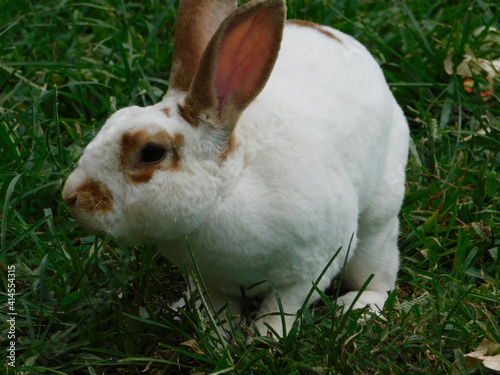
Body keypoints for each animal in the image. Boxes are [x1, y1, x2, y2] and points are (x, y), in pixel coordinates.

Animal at [60, 0, 408, 340]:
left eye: (151, 152)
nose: (71, 197)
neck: (225, 193)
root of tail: (335, 34)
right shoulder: (211, 280)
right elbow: (220, 310)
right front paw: (219, 338)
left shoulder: (311, 268)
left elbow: (283, 309)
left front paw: (267, 340)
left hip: (379, 218)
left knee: (379, 270)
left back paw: (360, 306)